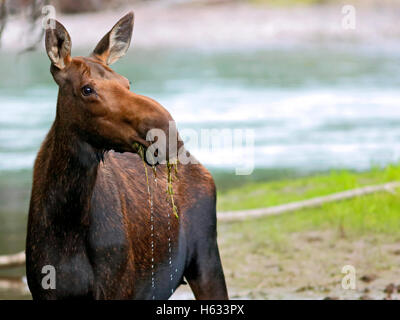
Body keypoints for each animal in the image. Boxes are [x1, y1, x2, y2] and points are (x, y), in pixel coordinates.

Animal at [26, 10, 228, 300]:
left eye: (126, 82)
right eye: (87, 89)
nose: (167, 131)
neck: (67, 224)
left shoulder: (119, 288)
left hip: (206, 258)